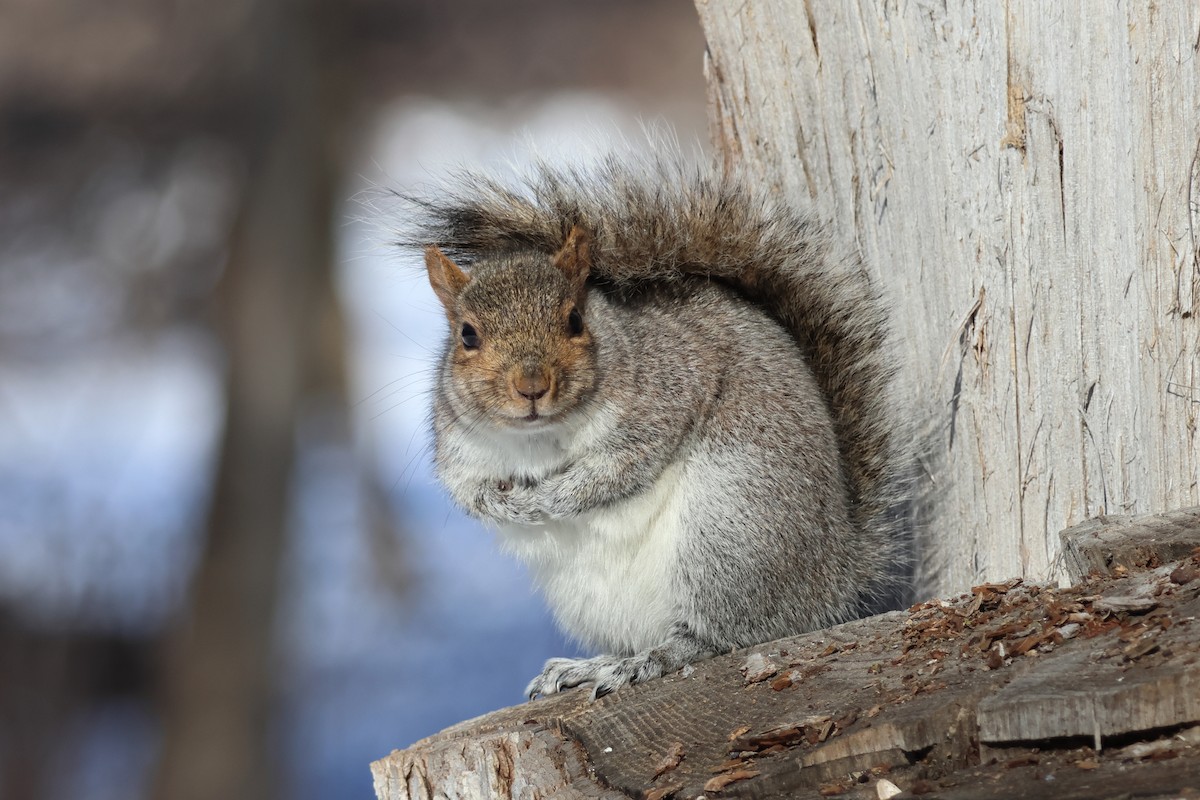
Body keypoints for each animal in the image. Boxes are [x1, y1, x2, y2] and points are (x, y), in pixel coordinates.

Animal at [410, 152, 911, 699]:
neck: (538, 439)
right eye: (467, 335)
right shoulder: (460, 448)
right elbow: (466, 491)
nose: (531, 386)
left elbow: (617, 472)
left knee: (722, 633)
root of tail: (837, 578)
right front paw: (504, 505)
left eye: (575, 320)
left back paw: (648, 661)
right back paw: (591, 664)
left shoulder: (666, 399)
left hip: (731, 531)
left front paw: (551, 499)